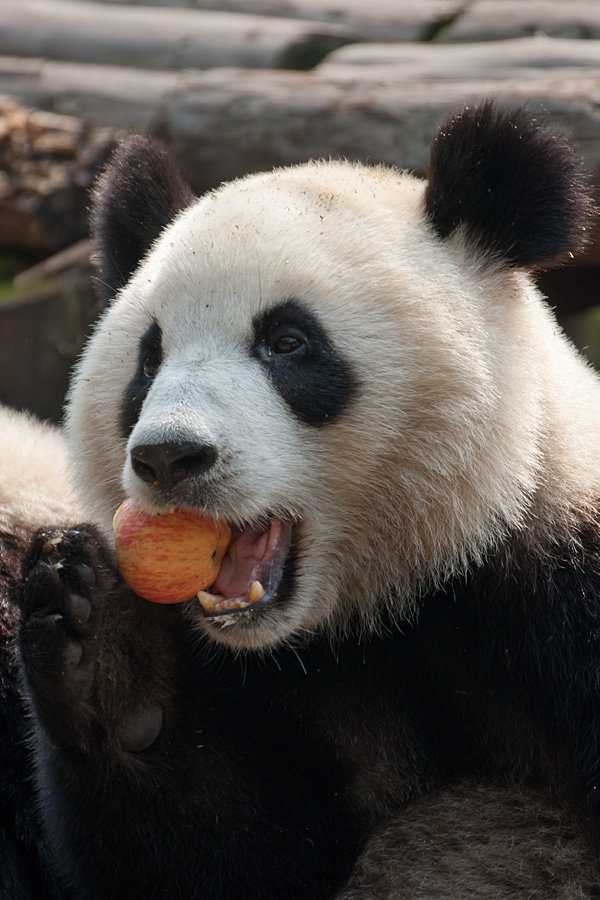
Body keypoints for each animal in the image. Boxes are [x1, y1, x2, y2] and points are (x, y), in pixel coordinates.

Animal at [7, 103, 600, 892]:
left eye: (287, 342)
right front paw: (105, 648)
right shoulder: (271, 688)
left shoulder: (558, 580)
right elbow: (223, 852)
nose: (169, 456)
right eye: (149, 358)